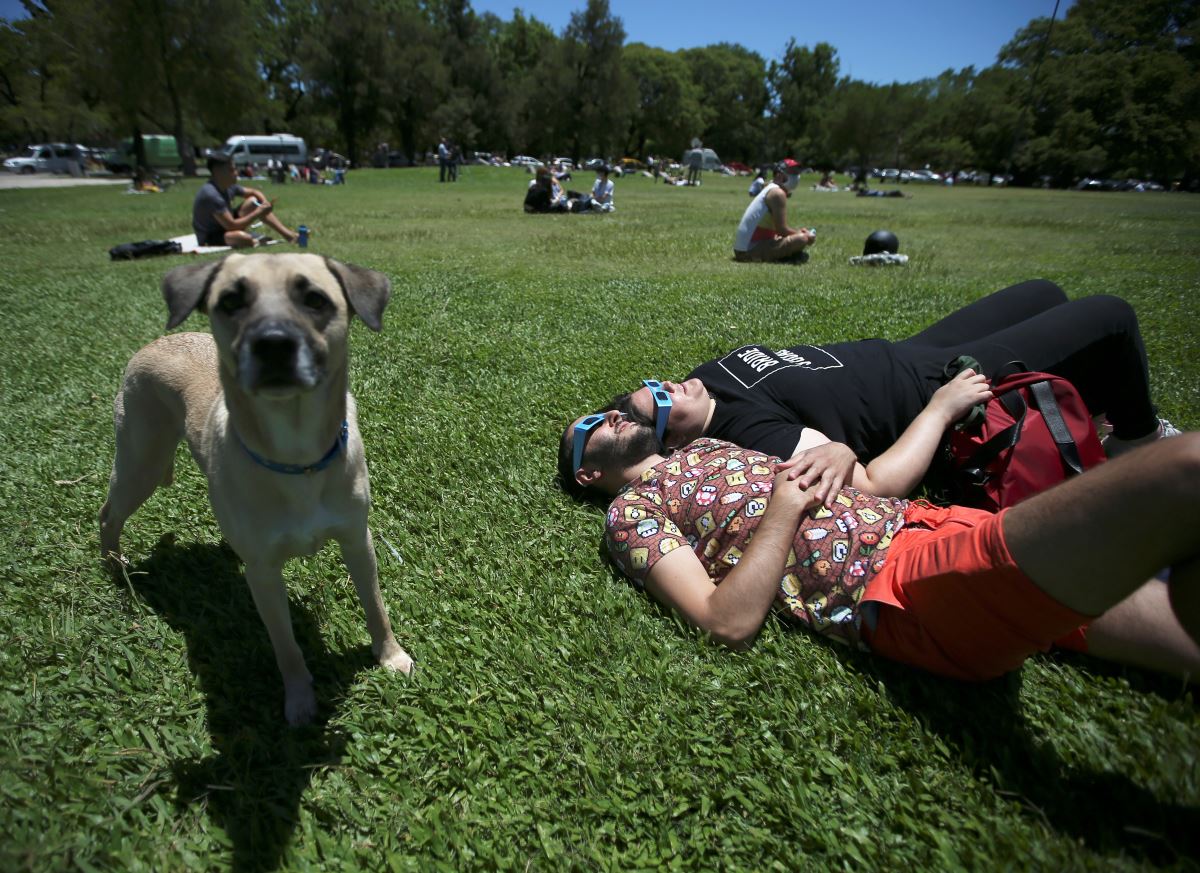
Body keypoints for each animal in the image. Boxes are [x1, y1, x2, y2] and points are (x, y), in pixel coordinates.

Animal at [96, 250, 412, 724]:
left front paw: (390, 656)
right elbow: (286, 646)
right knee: (108, 514)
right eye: (230, 301)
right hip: (141, 462)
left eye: (315, 299)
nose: (273, 343)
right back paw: (115, 565)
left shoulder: (358, 540)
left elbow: (376, 606)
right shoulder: (262, 573)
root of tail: (154, 342)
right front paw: (299, 701)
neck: (297, 455)